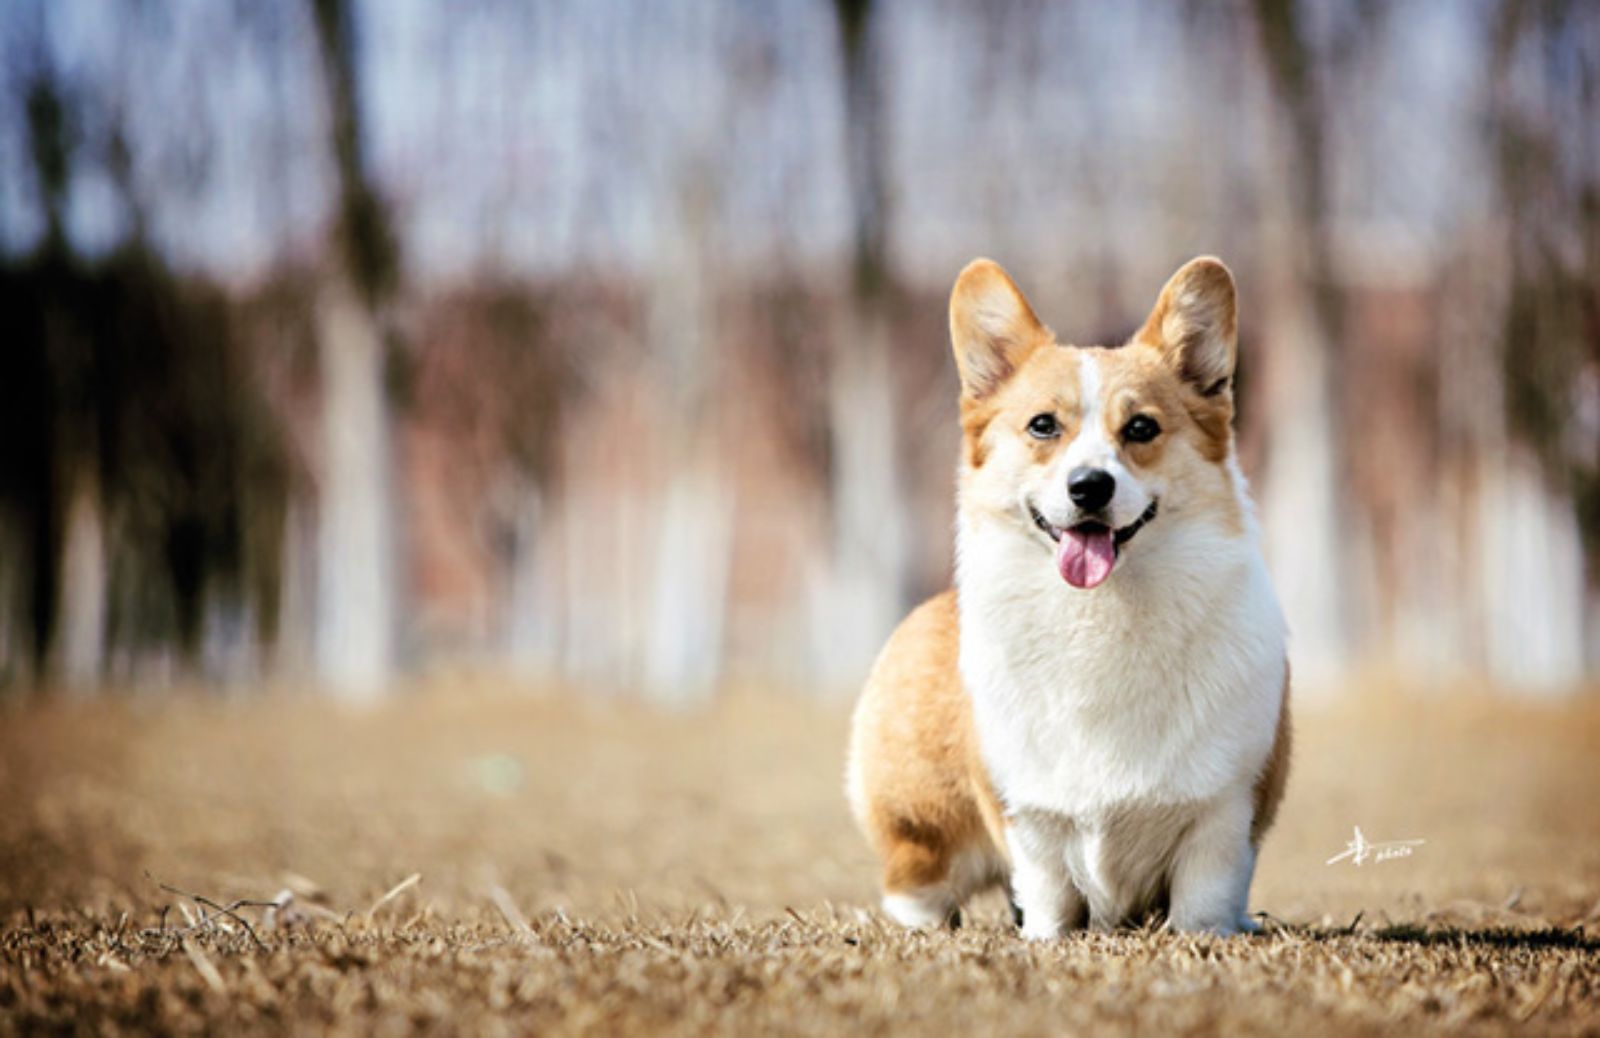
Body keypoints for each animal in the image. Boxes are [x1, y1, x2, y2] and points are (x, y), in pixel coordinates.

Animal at [851, 254, 1286, 934]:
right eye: (1042, 426)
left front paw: (1210, 935)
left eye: (1141, 427)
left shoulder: (1224, 810)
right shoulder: (1028, 814)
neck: (1100, 614)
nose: (1089, 487)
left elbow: (1204, 896)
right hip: (922, 830)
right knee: (918, 887)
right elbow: (1048, 888)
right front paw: (1045, 939)